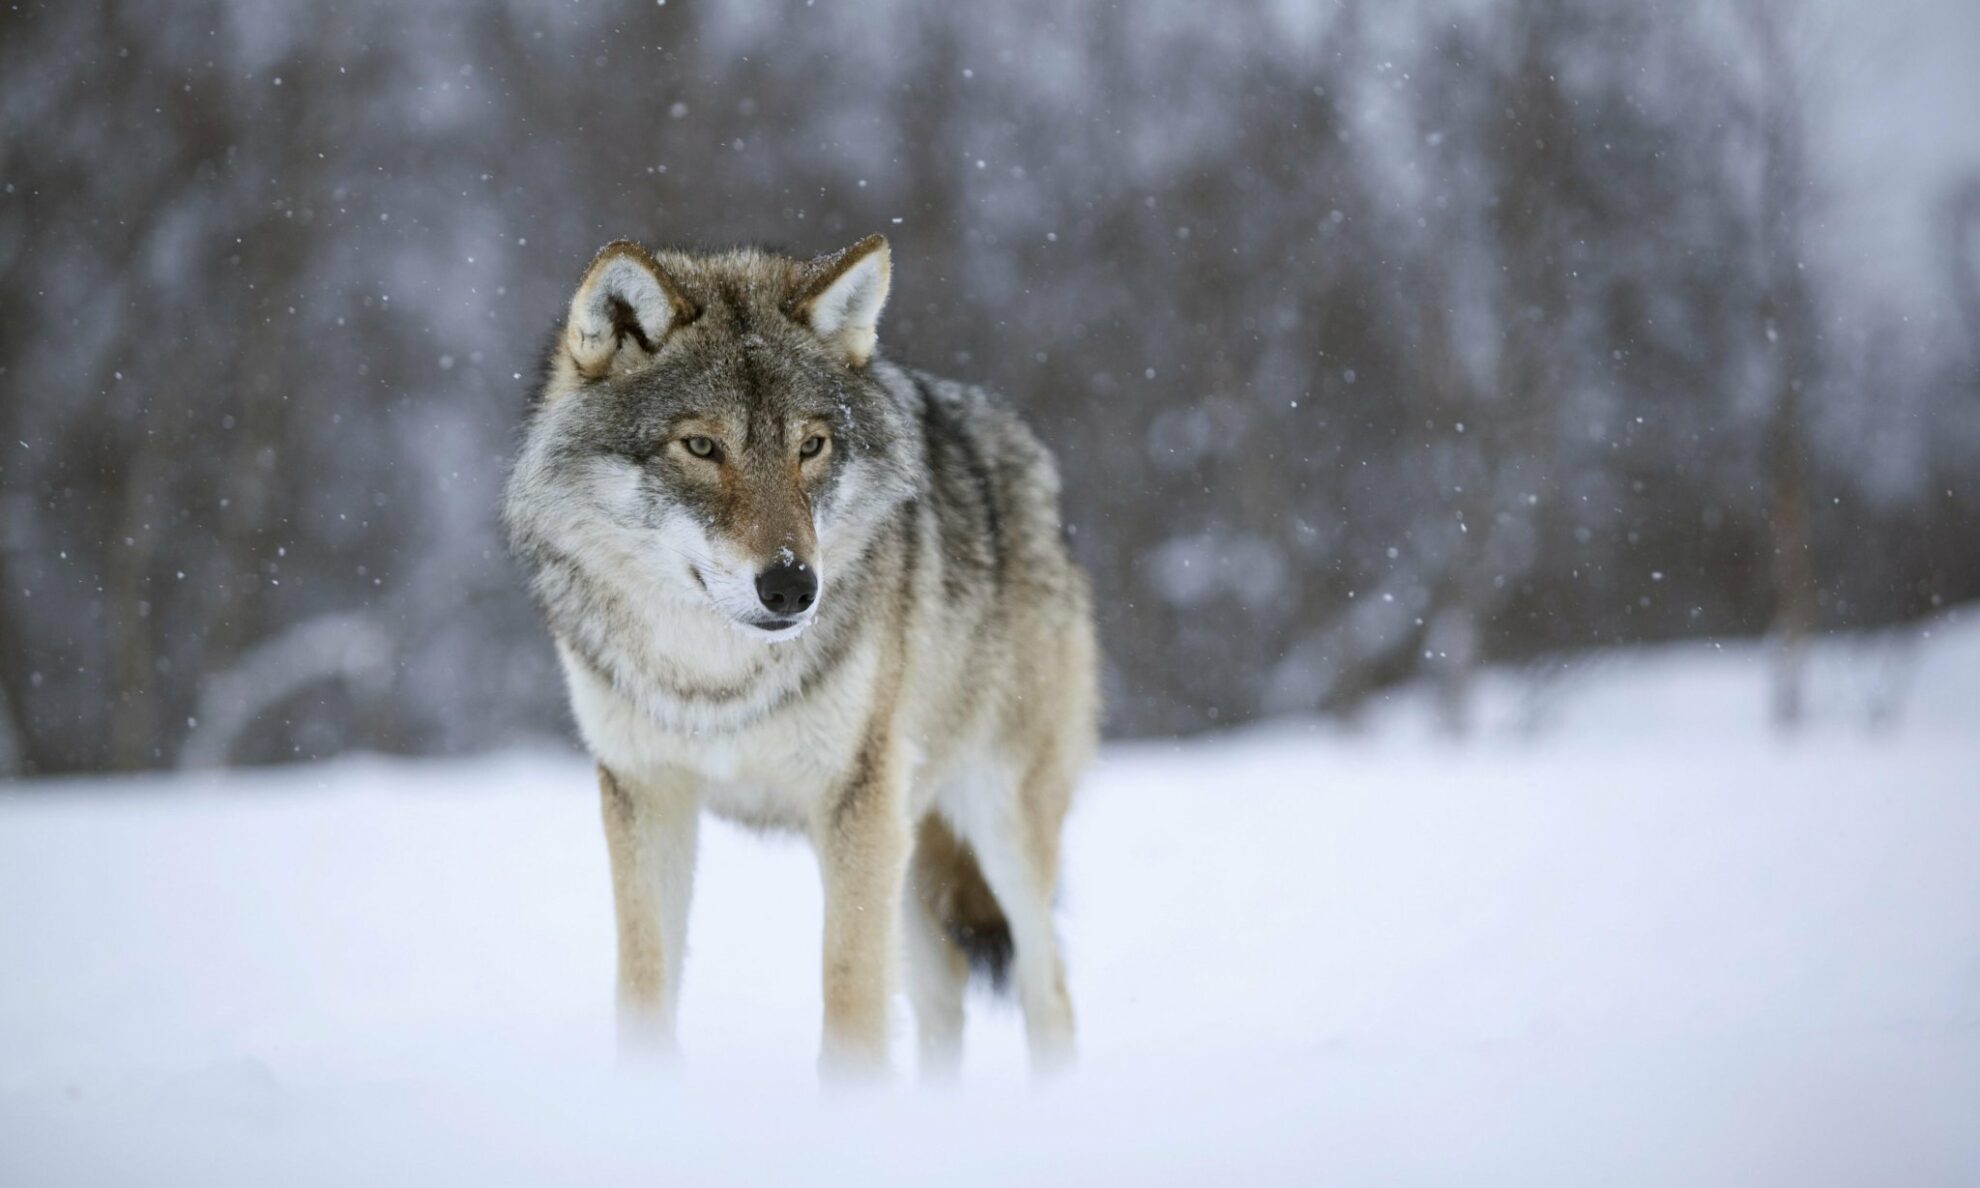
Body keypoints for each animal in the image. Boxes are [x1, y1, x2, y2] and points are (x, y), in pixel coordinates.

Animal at [502, 231, 1100, 1077]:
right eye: (701, 446)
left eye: (811, 447)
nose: (792, 586)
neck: (716, 678)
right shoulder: (646, 793)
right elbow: (644, 991)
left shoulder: (852, 800)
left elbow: (850, 1008)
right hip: (911, 849)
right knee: (942, 1005)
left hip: (997, 823)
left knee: (1048, 996)